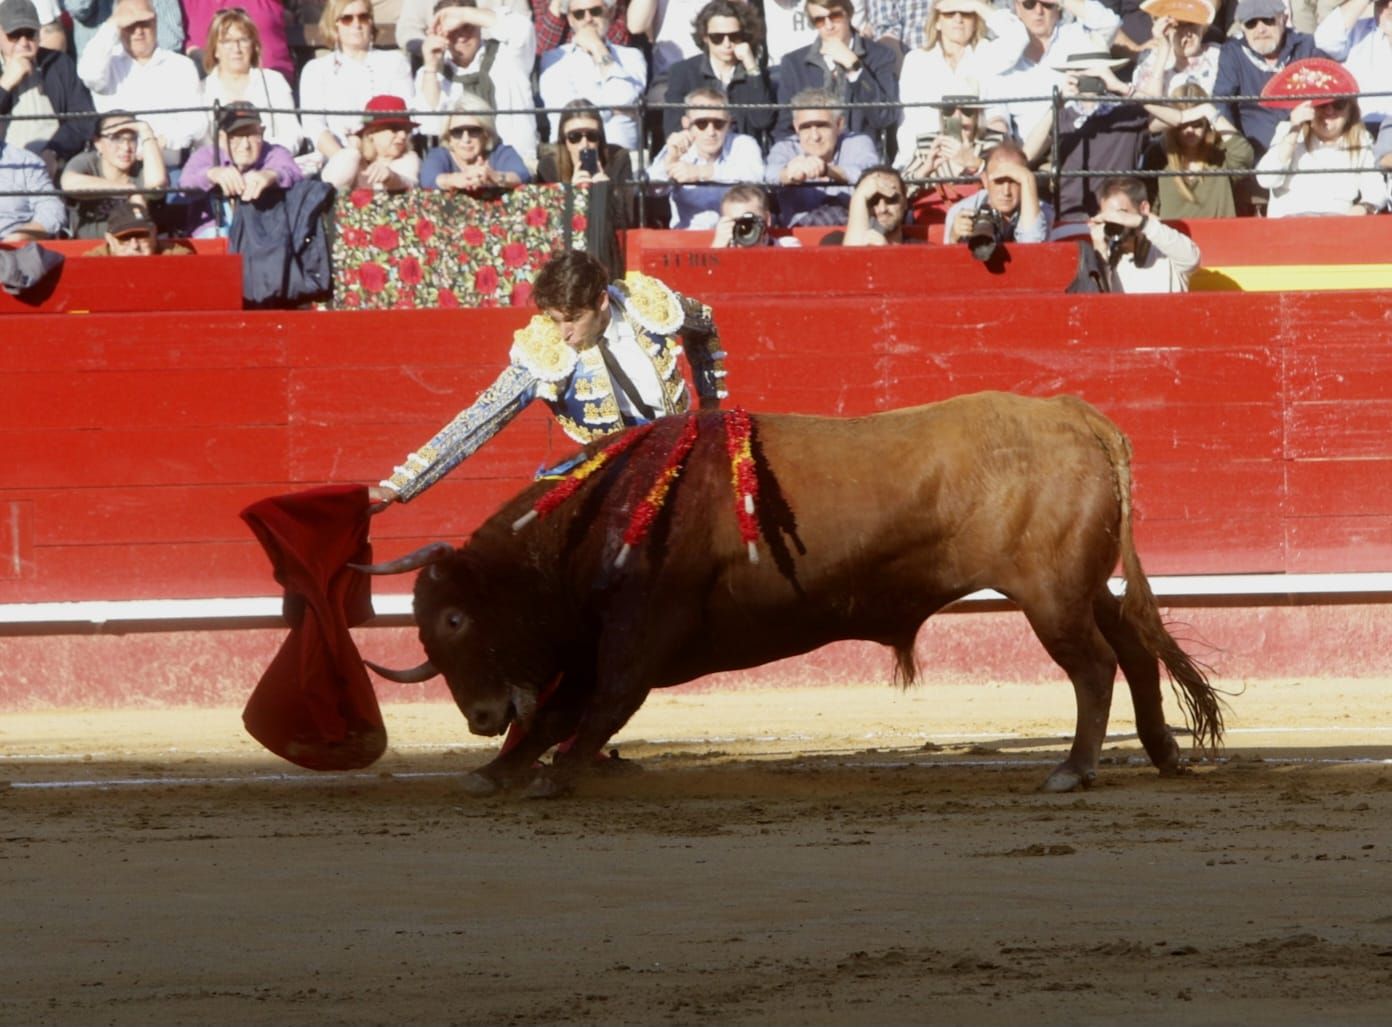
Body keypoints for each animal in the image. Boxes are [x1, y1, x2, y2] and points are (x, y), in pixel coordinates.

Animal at [364, 386, 1224, 795]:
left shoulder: (638, 634)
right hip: (1078, 584)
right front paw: (496, 767)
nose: (479, 716)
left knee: (1094, 666)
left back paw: (1073, 769)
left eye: (455, 617)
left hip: (1048, 594)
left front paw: (548, 774)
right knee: (1134, 646)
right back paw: (1163, 752)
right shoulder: (594, 643)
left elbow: (594, 705)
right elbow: (554, 711)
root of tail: (1073, 415)